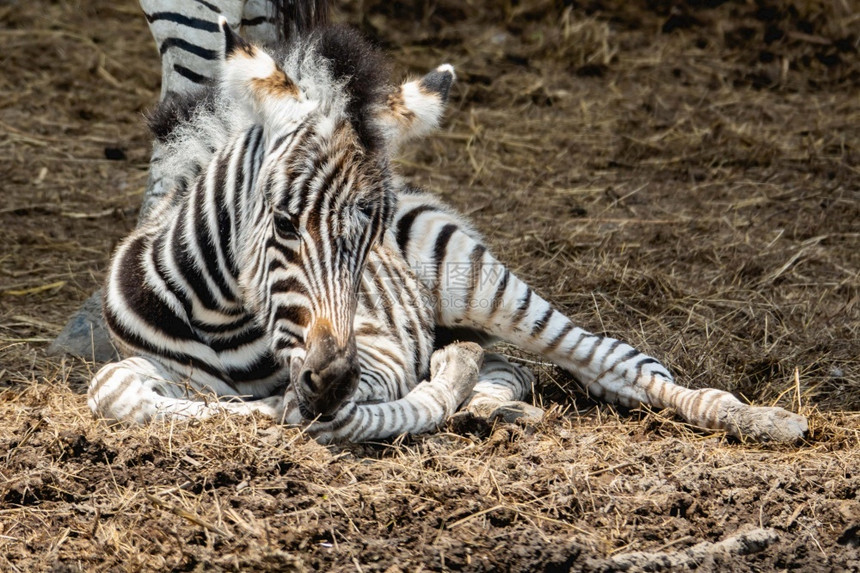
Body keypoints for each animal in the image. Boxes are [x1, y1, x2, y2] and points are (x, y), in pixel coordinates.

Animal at [87, 5, 808, 442]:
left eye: (370, 238)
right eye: (285, 223)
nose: (332, 379)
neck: (221, 315)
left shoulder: (375, 354)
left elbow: (322, 413)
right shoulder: (147, 366)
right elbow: (117, 390)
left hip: (473, 279)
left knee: (608, 356)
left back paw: (761, 418)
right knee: (517, 366)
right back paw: (497, 403)